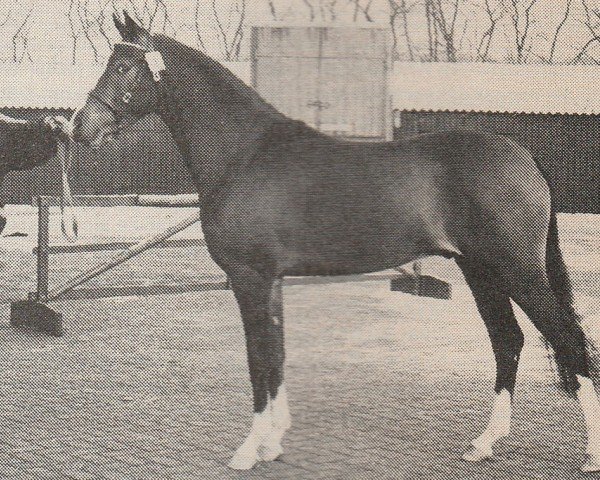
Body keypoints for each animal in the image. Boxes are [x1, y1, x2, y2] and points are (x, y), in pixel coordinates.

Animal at [71, 12, 600, 472]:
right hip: (480, 270)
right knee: (508, 341)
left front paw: (249, 449)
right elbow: (277, 355)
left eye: (122, 66)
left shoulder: (249, 278)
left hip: (517, 271)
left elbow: (257, 360)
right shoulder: (272, 281)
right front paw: (274, 442)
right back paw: (484, 444)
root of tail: (521, 154)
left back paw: (589, 453)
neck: (245, 153)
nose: (79, 126)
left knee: (568, 338)